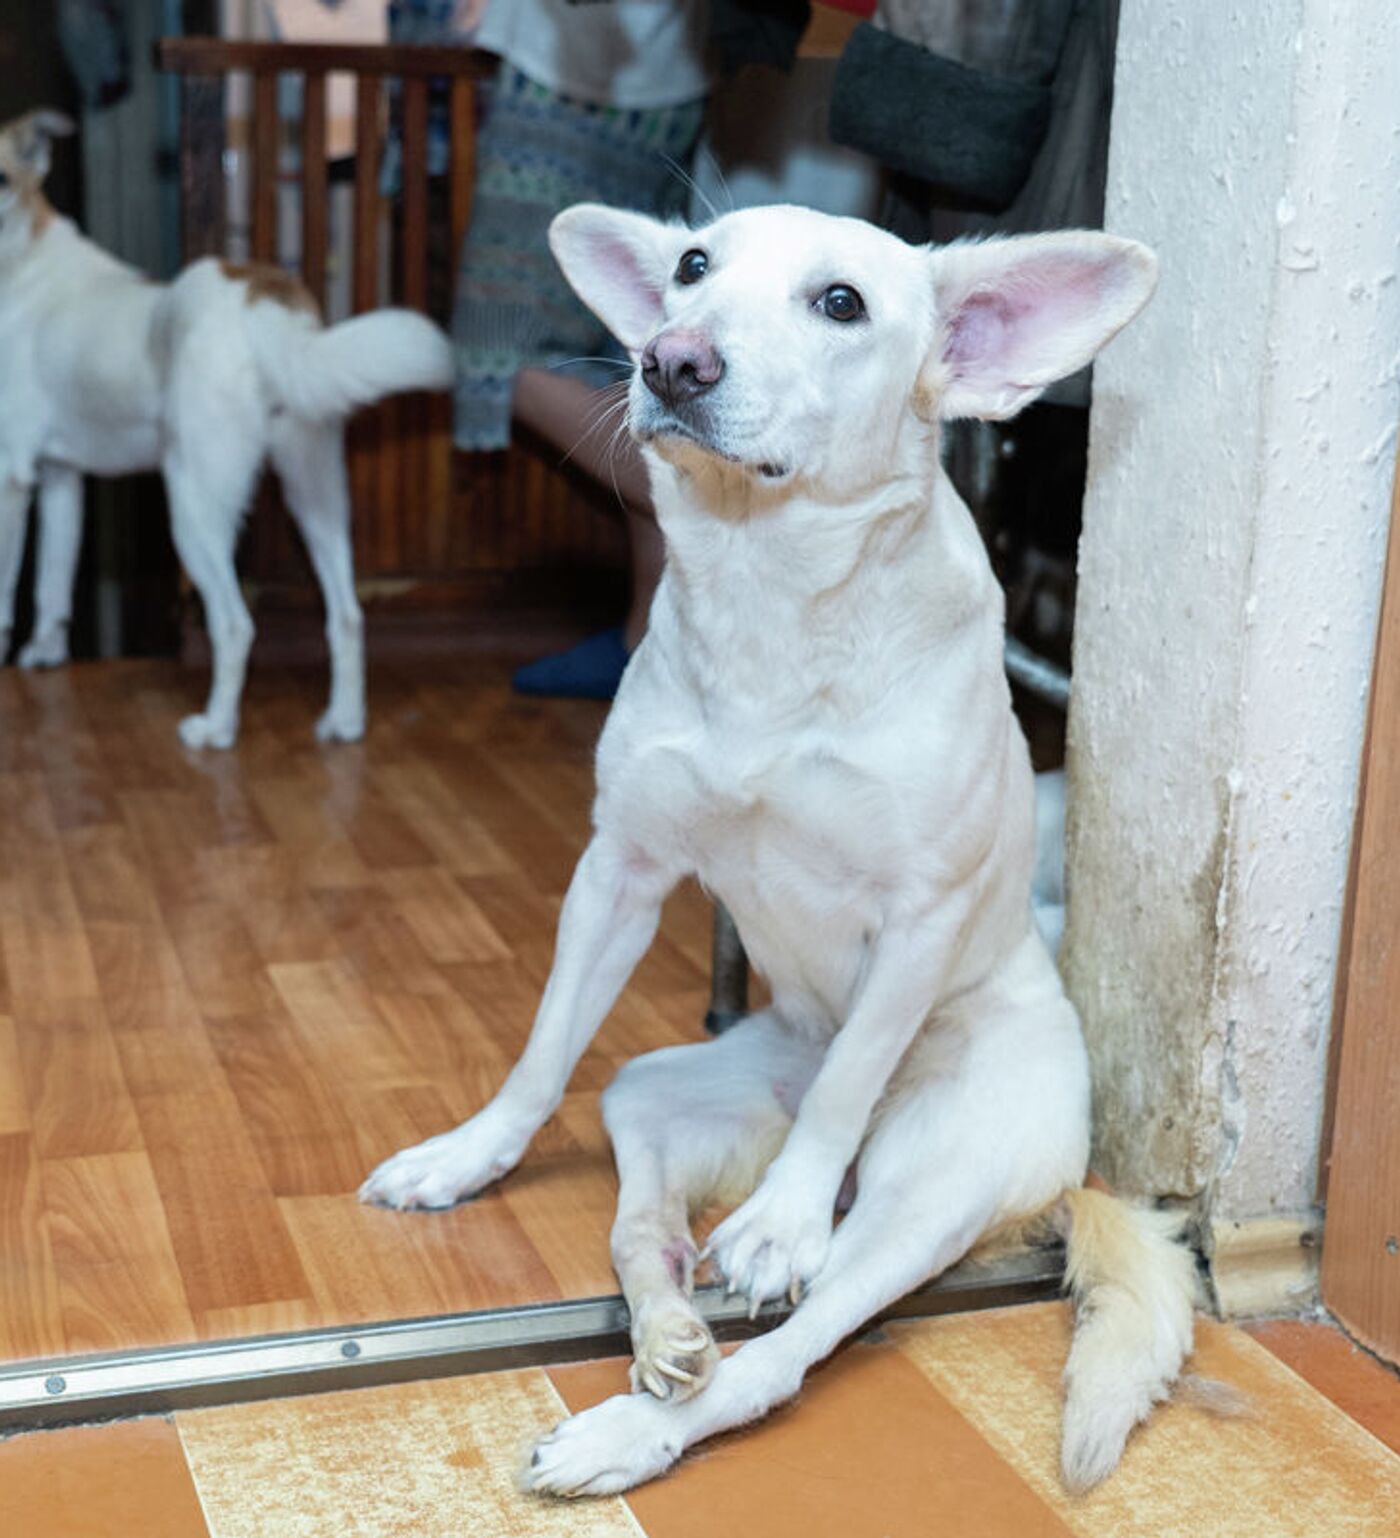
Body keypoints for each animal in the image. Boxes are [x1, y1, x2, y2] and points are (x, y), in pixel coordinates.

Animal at [0, 108, 452, 744]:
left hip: (192, 503)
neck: (19, 257)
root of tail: (261, 298)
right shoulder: (62, 478)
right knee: (346, 615)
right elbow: (52, 582)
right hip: (315, 495)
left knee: (236, 624)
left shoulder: (11, 476)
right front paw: (45, 654)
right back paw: (343, 720)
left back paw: (214, 728)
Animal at [361, 198, 1193, 1494]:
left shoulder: (916, 919)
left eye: (840, 301)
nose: (670, 359)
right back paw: (664, 1332)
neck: (769, 591)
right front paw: (468, 1153)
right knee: (641, 1227)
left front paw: (779, 1218)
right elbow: (542, 1049)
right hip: (656, 1091)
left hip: (916, 1199)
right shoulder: (617, 870)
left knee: (782, 1349)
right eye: (692, 268)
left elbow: (850, 1078)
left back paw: (644, 1413)